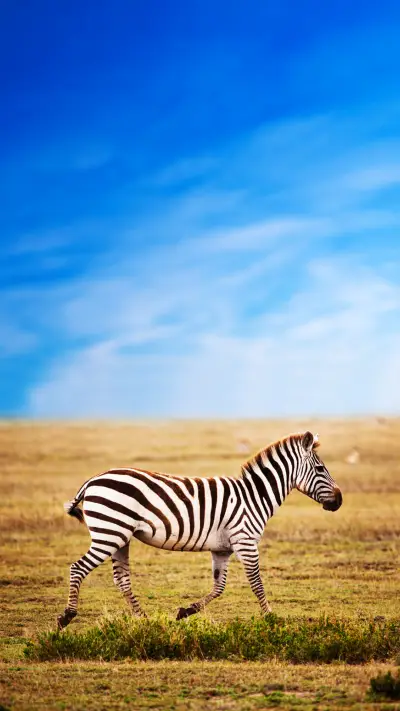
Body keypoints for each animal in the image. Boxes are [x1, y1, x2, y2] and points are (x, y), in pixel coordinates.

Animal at [57, 431, 342, 629]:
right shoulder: (246, 541)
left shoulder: (222, 549)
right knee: (77, 568)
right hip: (109, 533)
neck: (254, 496)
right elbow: (257, 583)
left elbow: (219, 587)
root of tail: (93, 480)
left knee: (122, 579)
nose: (339, 501)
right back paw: (67, 617)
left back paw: (145, 620)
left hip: (120, 537)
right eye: (320, 468)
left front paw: (186, 611)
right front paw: (271, 618)